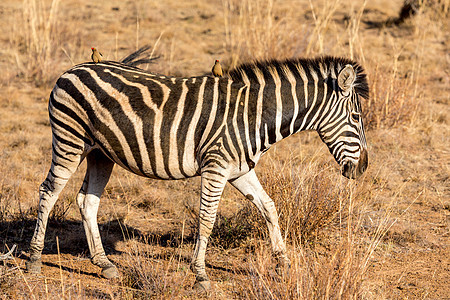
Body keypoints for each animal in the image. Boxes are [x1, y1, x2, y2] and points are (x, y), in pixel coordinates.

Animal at [25, 52, 370, 290]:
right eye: (356, 117)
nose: (364, 168)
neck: (255, 116)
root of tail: (74, 68)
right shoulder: (216, 167)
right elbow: (207, 219)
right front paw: (201, 276)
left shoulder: (239, 170)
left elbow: (269, 207)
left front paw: (282, 263)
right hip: (70, 141)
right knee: (48, 192)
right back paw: (33, 260)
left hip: (100, 153)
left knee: (87, 201)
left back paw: (104, 263)